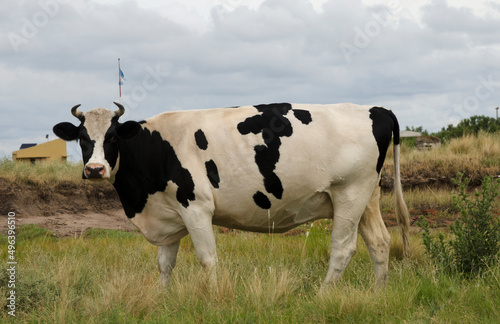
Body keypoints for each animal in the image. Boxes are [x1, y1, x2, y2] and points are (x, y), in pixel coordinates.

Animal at [52, 102, 408, 288]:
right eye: (82, 138)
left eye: (112, 137)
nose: (95, 169)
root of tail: (374, 108)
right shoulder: (166, 213)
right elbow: (165, 264)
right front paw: (161, 296)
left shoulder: (195, 208)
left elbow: (207, 259)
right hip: (367, 198)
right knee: (380, 242)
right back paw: (378, 292)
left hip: (349, 193)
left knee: (343, 249)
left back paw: (322, 296)